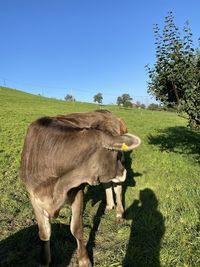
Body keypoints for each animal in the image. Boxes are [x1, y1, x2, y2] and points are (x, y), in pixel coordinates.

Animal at [19, 110, 140, 266]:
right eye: (114, 154)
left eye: (118, 152)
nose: (124, 172)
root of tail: (106, 112)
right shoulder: (34, 197)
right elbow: (44, 232)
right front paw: (45, 261)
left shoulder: (77, 192)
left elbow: (76, 229)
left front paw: (84, 260)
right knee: (107, 183)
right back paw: (109, 205)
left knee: (118, 188)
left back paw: (119, 213)